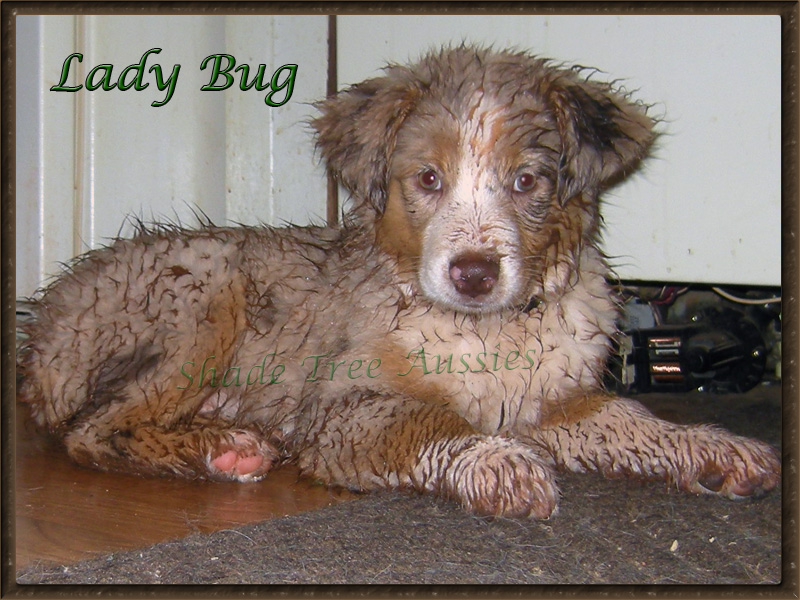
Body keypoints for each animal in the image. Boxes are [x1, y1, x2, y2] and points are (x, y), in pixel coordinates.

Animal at [17, 47, 780, 516]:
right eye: (428, 179)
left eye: (526, 182)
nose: (473, 274)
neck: (488, 329)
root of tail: (43, 328)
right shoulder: (344, 409)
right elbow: (431, 420)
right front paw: (497, 462)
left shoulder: (553, 398)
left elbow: (633, 419)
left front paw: (711, 446)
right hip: (204, 293)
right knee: (92, 431)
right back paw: (215, 451)